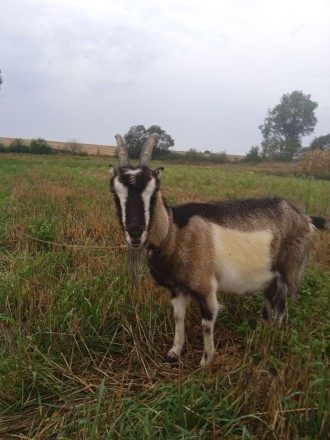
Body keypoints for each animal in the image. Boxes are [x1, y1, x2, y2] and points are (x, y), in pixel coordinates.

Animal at [110, 133, 330, 364]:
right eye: (115, 194)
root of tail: (305, 218)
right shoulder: (177, 287)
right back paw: (261, 333)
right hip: (270, 275)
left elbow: (207, 323)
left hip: (289, 270)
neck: (174, 233)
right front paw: (173, 352)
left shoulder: (205, 286)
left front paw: (206, 361)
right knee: (270, 301)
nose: (135, 233)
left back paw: (273, 336)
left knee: (281, 304)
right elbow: (178, 317)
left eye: (154, 192)